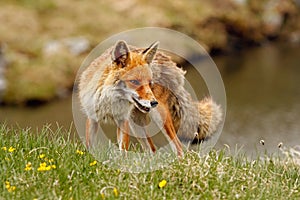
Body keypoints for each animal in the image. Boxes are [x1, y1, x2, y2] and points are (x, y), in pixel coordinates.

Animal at [78, 40, 221, 156]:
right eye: (134, 82)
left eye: (149, 83)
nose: (153, 102)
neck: (109, 101)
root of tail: (168, 59)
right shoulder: (92, 117)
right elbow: (90, 146)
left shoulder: (123, 120)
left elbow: (123, 151)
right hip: (137, 125)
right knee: (152, 149)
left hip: (158, 118)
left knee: (178, 147)